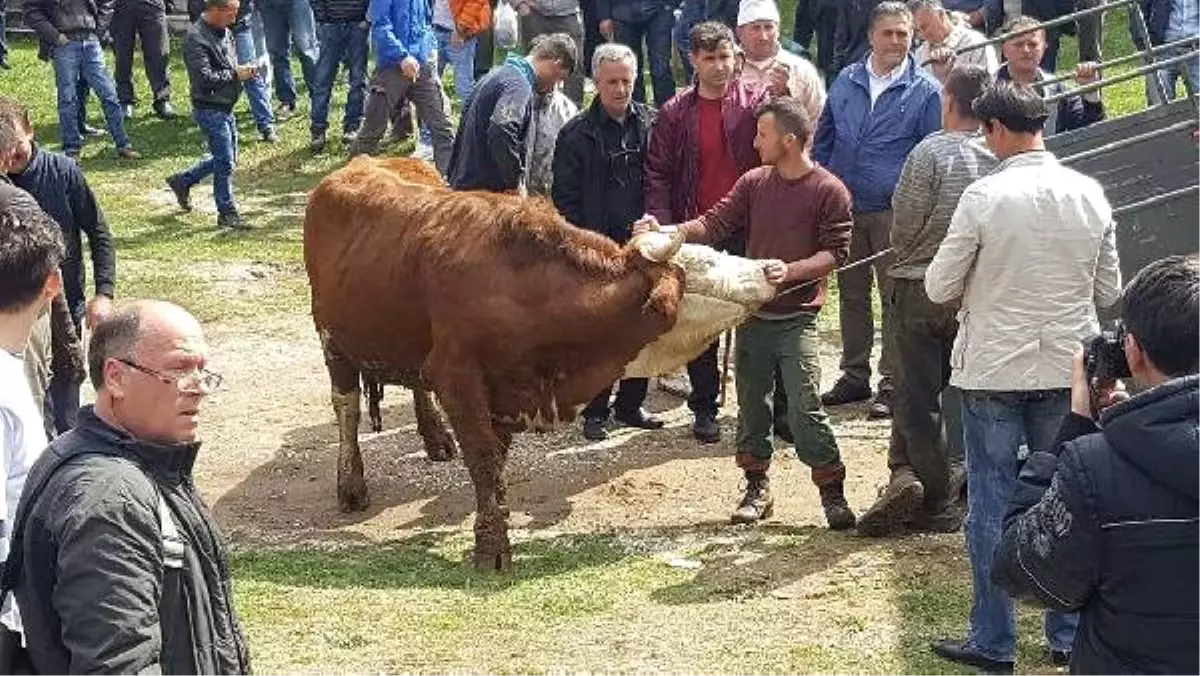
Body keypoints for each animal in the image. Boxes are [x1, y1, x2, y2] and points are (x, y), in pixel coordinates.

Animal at [307, 158, 768, 571]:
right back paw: (351, 484)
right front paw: (492, 545)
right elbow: (483, 460)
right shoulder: (457, 379)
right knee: (346, 408)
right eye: (705, 265)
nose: (771, 267)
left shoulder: (506, 391)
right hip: (334, 341)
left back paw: (435, 439)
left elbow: (496, 461)